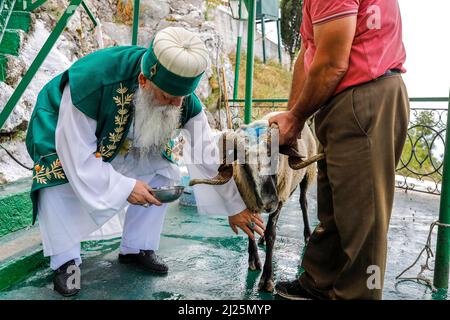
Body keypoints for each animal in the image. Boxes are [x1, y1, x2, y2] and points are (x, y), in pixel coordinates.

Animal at [188, 113, 322, 292]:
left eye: (274, 155)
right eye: (242, 161)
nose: (268, 202)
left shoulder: (279, 198)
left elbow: (272, 233)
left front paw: (267, 279)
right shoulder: (248, 198)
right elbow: (250, 227)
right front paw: (254, 261)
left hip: (307, 173)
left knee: (303, 202)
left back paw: (307, 235)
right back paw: (262, 238)